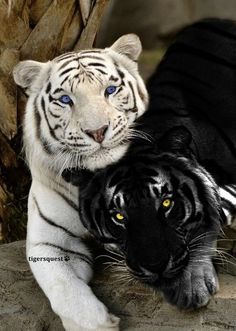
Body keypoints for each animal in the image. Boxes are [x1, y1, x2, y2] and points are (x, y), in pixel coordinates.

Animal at [12, 35, 148, 330]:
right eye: (65, 99)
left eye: (110, 90)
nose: (97, 131)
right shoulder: (49, 241)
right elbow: (62, 286)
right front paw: (97, 322)